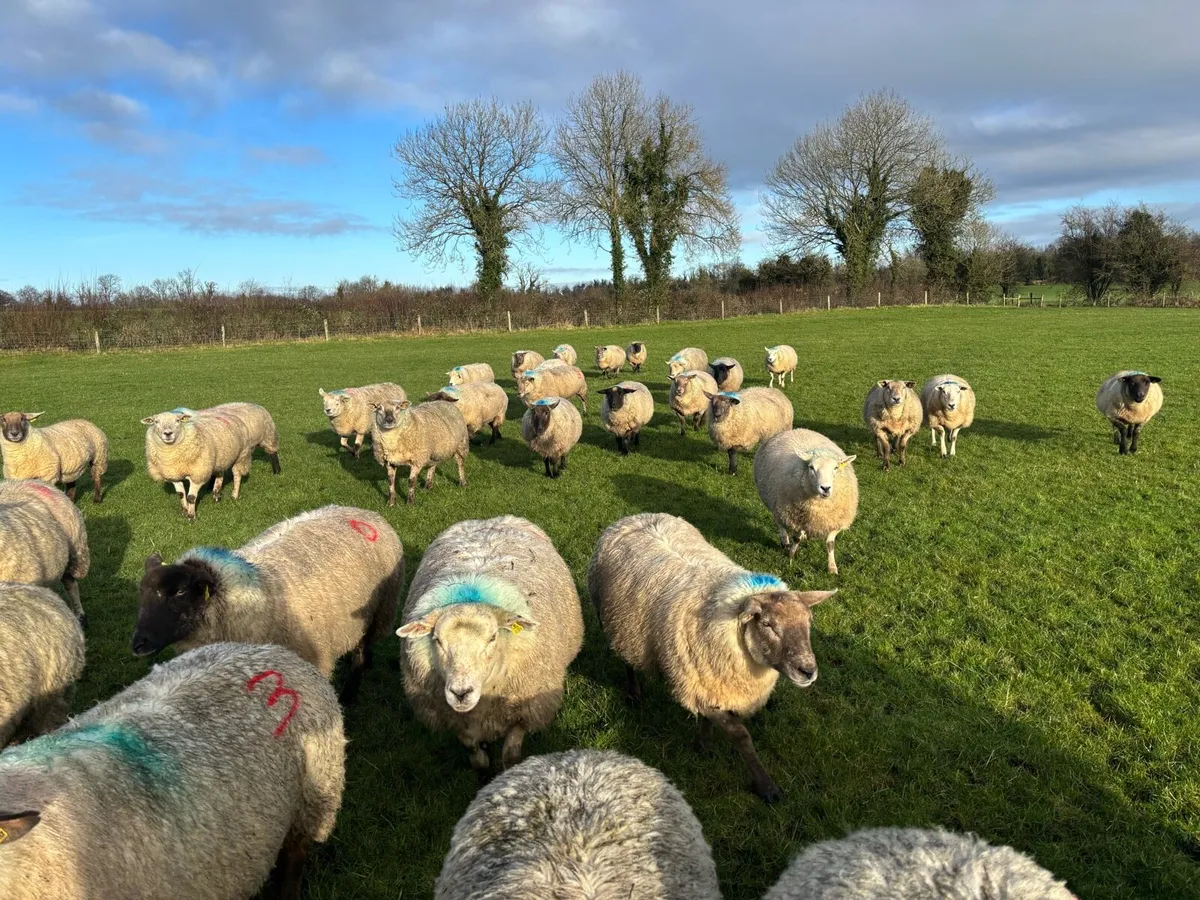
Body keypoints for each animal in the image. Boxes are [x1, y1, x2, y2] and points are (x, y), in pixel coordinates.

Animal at [132, 505, 404, 701]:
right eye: (141, 591)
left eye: (179, 592)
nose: (138, 644)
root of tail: (367, 512)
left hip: (379, 612)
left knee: (362, 655)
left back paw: (349, 695)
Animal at [141, 403, 279, 520]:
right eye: (155, 422)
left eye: (178, 420)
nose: (168, 433)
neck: (170, 454)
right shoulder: (173, 475)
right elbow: (181, 494)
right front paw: (185, 511)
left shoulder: (198, 473)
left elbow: (191, 497)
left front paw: (191, 516)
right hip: (220, 458)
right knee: (219, 475)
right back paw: (216, 494)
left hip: (247, 451)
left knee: (239, 474)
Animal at [397, 515, 584, 773]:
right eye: (437, 640)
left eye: (493, 637)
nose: (461, 693)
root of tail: (490, 519)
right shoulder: (455, 719)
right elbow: (477, 758)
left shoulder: (522, 710)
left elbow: (510, 757)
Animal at [589, 512, 835, 804]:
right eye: (767, 625)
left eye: (809, 621)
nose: (808, 671)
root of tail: (635, 517)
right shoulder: (694, 683)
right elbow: (741, 736)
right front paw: (765, 786)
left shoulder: (708, 681)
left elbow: (709, 720)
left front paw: (704, 744)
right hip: (623, 625)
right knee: (628, 660)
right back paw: (634, 692)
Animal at [753, 429, 858, 574]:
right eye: (811, 467)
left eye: (836, 468)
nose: (825, 488)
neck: (819, 507)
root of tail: (797, 430)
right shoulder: (795, 517)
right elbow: (796, 538)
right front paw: (791, 556)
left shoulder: (835, 521)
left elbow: (830, 544)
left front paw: (832, 568)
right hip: (775, 504)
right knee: (780, 524)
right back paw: (785, 541)